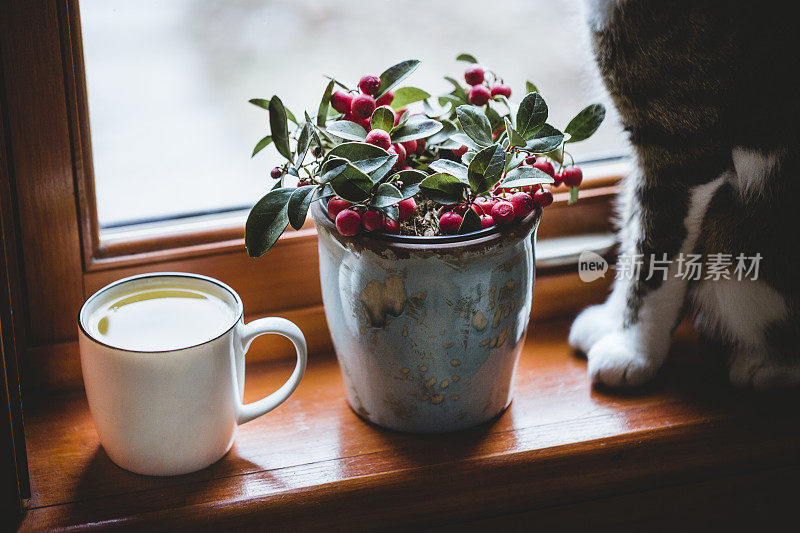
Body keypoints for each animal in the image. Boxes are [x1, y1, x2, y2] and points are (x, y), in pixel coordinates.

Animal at [568, 1, 800, 390]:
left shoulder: (681, 153)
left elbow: (652, 262)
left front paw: (635, 351)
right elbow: (632, 233)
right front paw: (611, 322)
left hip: (732, 231)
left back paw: (767, 368)